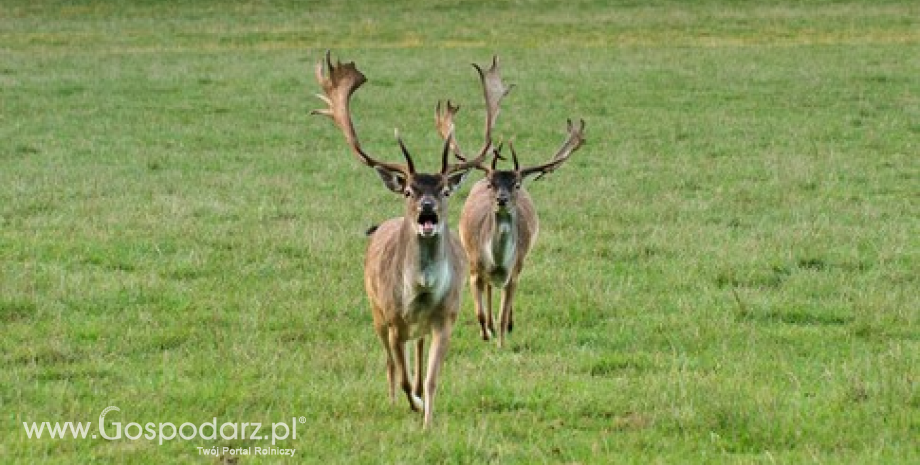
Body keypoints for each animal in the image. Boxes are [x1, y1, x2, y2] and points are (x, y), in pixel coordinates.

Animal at [312, 52, 506, 426]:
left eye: (444, 190)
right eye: (408, 190)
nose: (427, 206)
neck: (421, 291)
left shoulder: (446, 318)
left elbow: (431, 379)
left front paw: (427, 417)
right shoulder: (391, 320)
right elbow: (400, 375)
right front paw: (412, 403)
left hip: (420, 328)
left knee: (416, 354)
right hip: (374, 310)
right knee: (390, 363)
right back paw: (392, 399)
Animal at [436, 86, 584, 344]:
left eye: (516, 184)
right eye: (491, 183)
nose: (501, 199)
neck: (497, 262)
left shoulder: (514, 271)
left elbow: (504, 314)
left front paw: (502, 341)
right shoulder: (473, 267)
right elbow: (479, 312)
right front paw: (486, 334)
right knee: (488, 290)